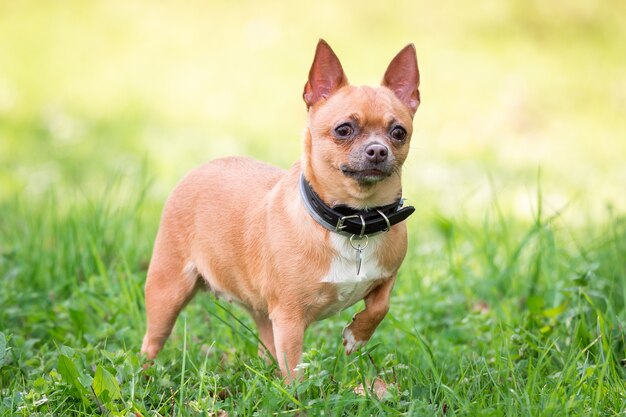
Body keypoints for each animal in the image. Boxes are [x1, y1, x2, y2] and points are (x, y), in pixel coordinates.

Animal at [141, 39, 420, 380]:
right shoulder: (289, 318)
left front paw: (356, 335)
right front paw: (297, 392)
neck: (355, 220)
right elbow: (294, 369)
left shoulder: (386, 277)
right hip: (168, 291)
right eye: (343, 130)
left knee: (266, 344)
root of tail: (203, 166)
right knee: (152, 339)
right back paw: (143, 375)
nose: (378, 150)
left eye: (399, 133)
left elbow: (381, 306)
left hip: (260, 308)